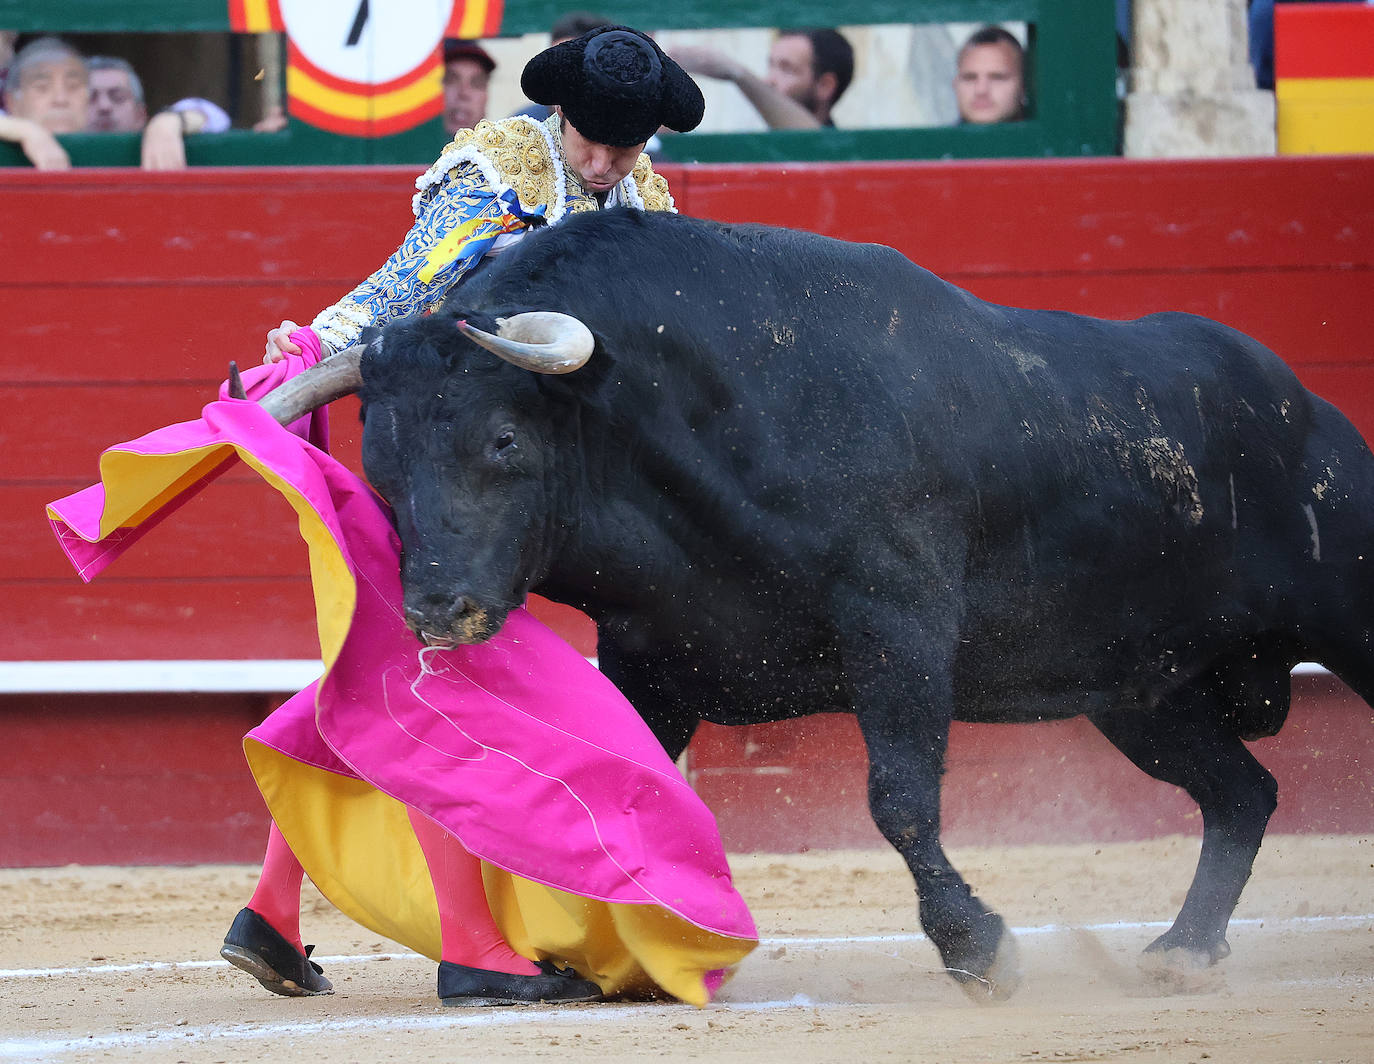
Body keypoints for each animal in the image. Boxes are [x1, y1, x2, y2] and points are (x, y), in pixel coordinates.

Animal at [273, 208, 1374, 1000]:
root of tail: (1307, 408)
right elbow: (625, 796)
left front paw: (979, 949)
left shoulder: (901, 626)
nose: (437, 608)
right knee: (1242, 793)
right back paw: (1184, 949)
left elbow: (899, 798)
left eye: (503, 438)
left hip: (1343, 612)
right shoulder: (651, 655)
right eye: (380, 464)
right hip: (1143, 690)